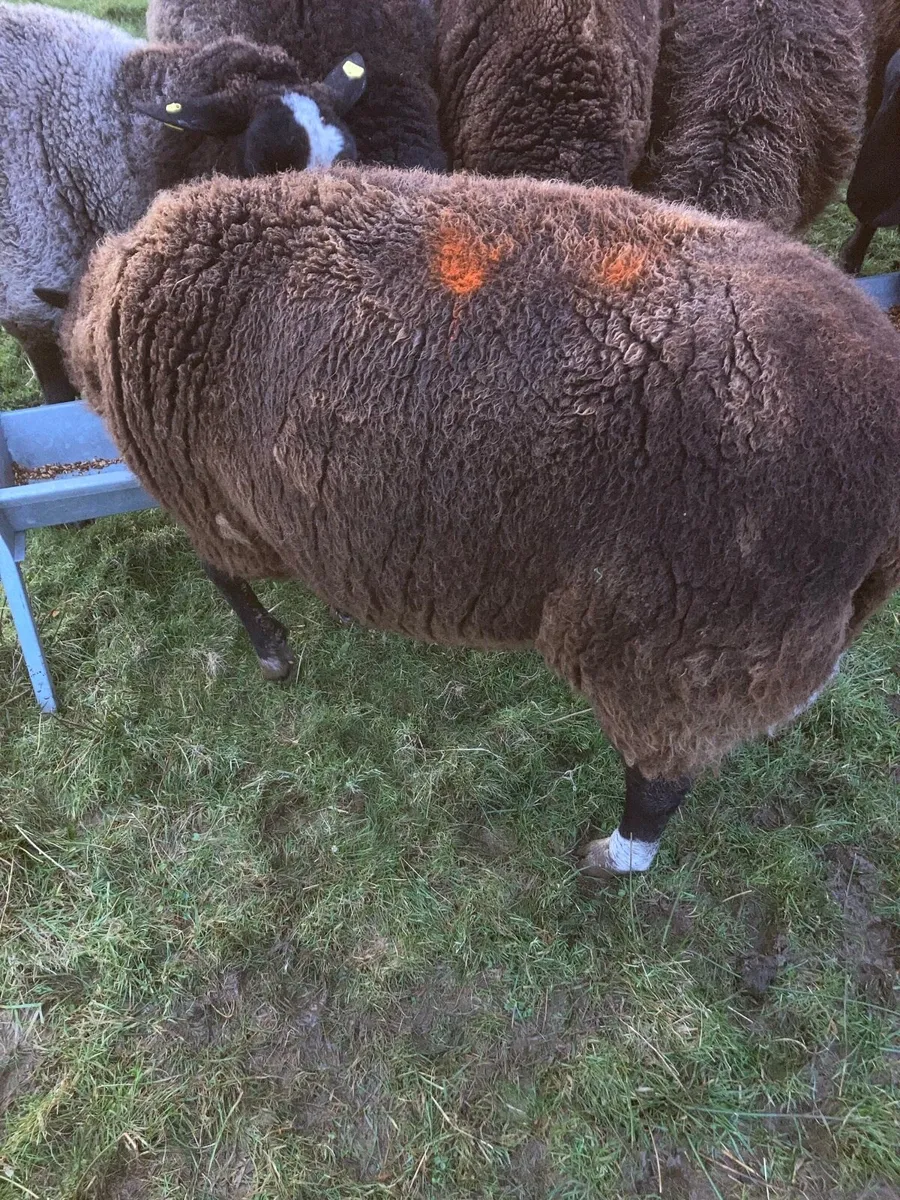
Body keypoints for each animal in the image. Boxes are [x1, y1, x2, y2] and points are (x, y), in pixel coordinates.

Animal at [57, 167, 900, 876]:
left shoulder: (209, 502)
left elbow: (221, 578)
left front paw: (272, 651)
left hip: (677, 637)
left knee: (660, 781)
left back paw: (613, 857)